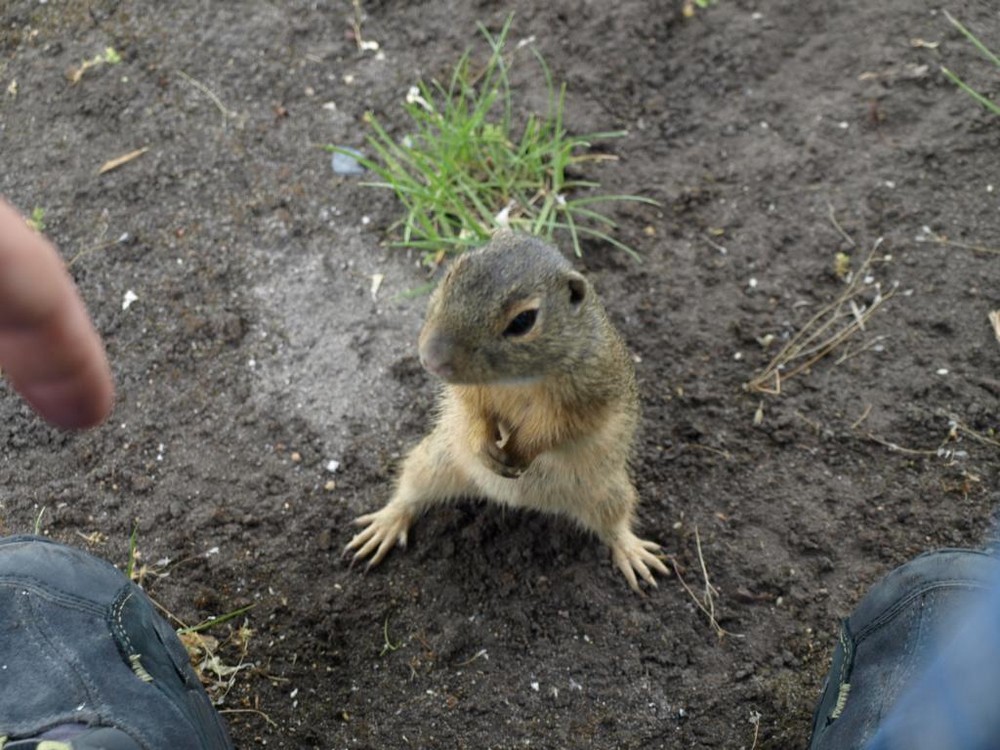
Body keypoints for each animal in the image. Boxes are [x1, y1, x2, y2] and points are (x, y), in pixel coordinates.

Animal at [348, 231, 668, 592]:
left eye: (523, 321)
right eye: (451, 274)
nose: (430, 358)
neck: (516, 378)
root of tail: (522, 502)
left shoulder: (590, 395)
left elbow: (557, 429)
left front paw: (520, 451)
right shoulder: (469, 394)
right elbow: (471, 411)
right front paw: (484, 445)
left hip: (607, 492)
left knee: (615, 525)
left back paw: (631, 550)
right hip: (433, 461)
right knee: (410, 493)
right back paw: (386, 523)